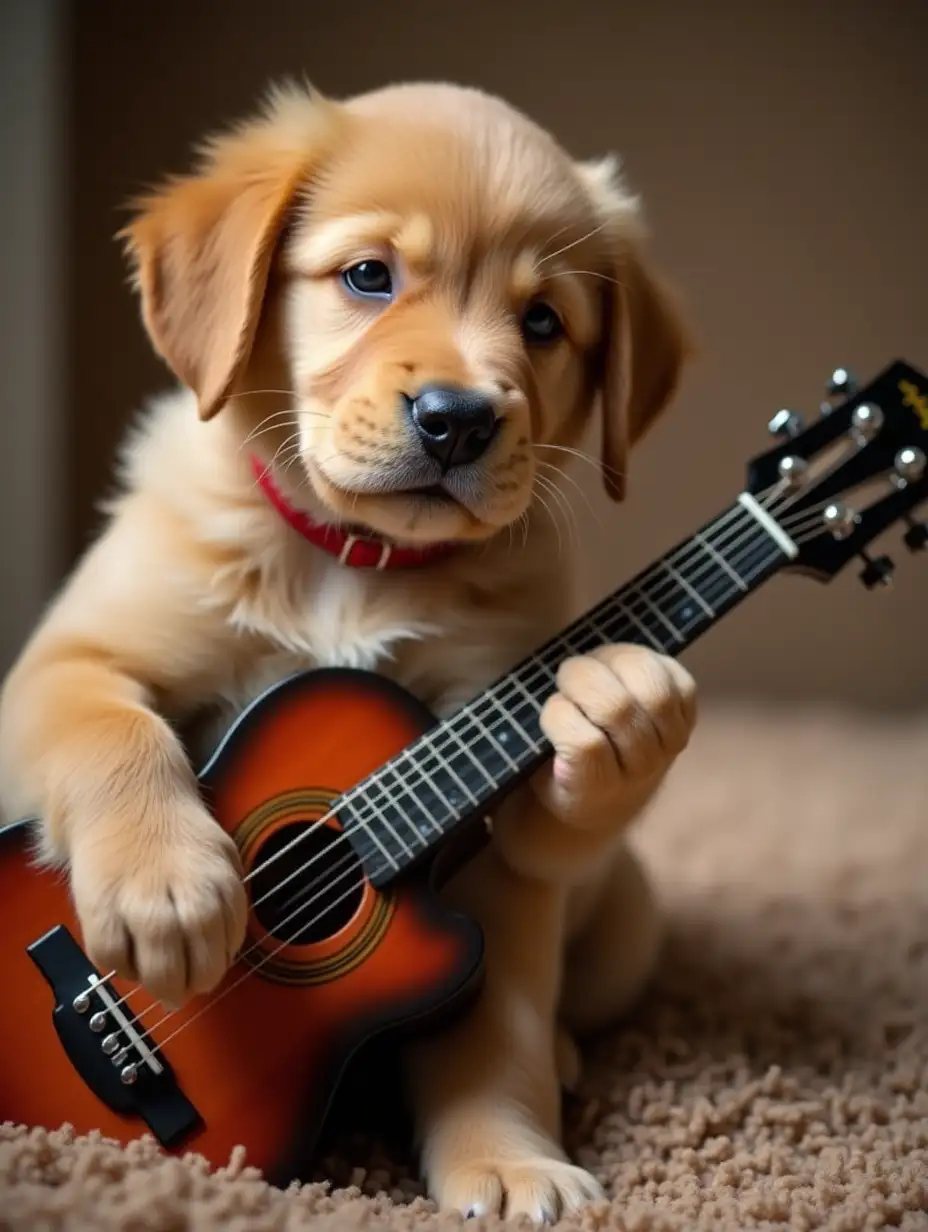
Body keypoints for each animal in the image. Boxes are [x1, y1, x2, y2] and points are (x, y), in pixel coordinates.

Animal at [0, 79, 695, 1222]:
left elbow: (496, 1029)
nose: (458, 418)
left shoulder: (496, 844)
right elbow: (110, 730)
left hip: (627, 921)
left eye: (543, 321)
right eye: (369, 275)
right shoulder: (67, 658)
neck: (354, 557)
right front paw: (162, 884)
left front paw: (507, 1160)